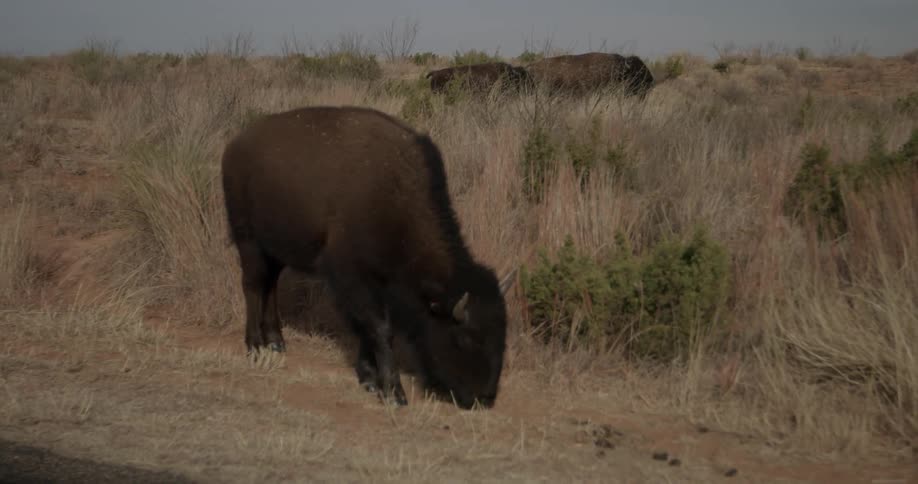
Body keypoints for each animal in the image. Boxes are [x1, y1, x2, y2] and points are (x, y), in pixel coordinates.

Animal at [221, 105, 516, 409]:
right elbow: (379, 328)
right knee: (253, 286)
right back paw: (255, 345)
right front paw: (394, 392)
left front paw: (370, 379)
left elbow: (366, 327)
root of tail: (235, 146)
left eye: (502, 333)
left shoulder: (375, 285)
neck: (397, 196)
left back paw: (276, 341)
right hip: (249, 241)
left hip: (275, 249)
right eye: (464, 338)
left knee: (271, 284)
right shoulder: (353, 278)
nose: (485, 397)